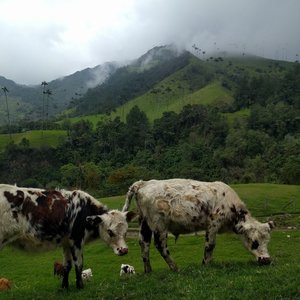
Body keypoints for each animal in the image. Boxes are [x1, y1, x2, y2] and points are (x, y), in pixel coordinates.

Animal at [122, 179, 274, 274]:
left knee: (144, 244)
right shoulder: (213, 223)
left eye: (267, 241)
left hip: (144, 223)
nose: (267, 260)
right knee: (160, 246)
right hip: (159, 225)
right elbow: (210, 245)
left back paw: (148, 270)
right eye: (254, 242)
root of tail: (143, 183)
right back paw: (174, 268)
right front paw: (206, 264)